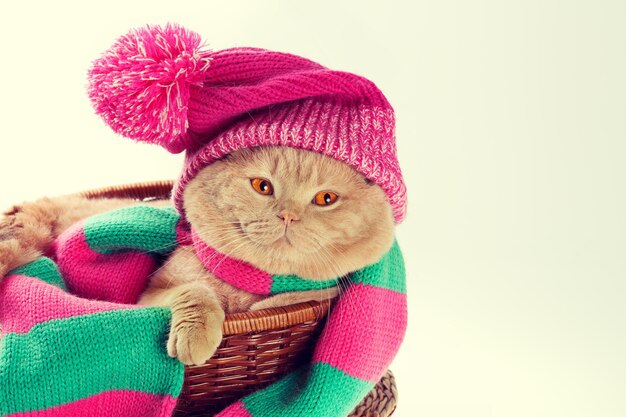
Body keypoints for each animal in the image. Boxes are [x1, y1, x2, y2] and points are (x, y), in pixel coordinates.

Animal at [0, 147, 392, 364]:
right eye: (262, 186)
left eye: (326, 199)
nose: (288, 216)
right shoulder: (152, 293)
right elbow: (197, 292)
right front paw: (197, 333)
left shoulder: (320, 291)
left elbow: (301, 296)